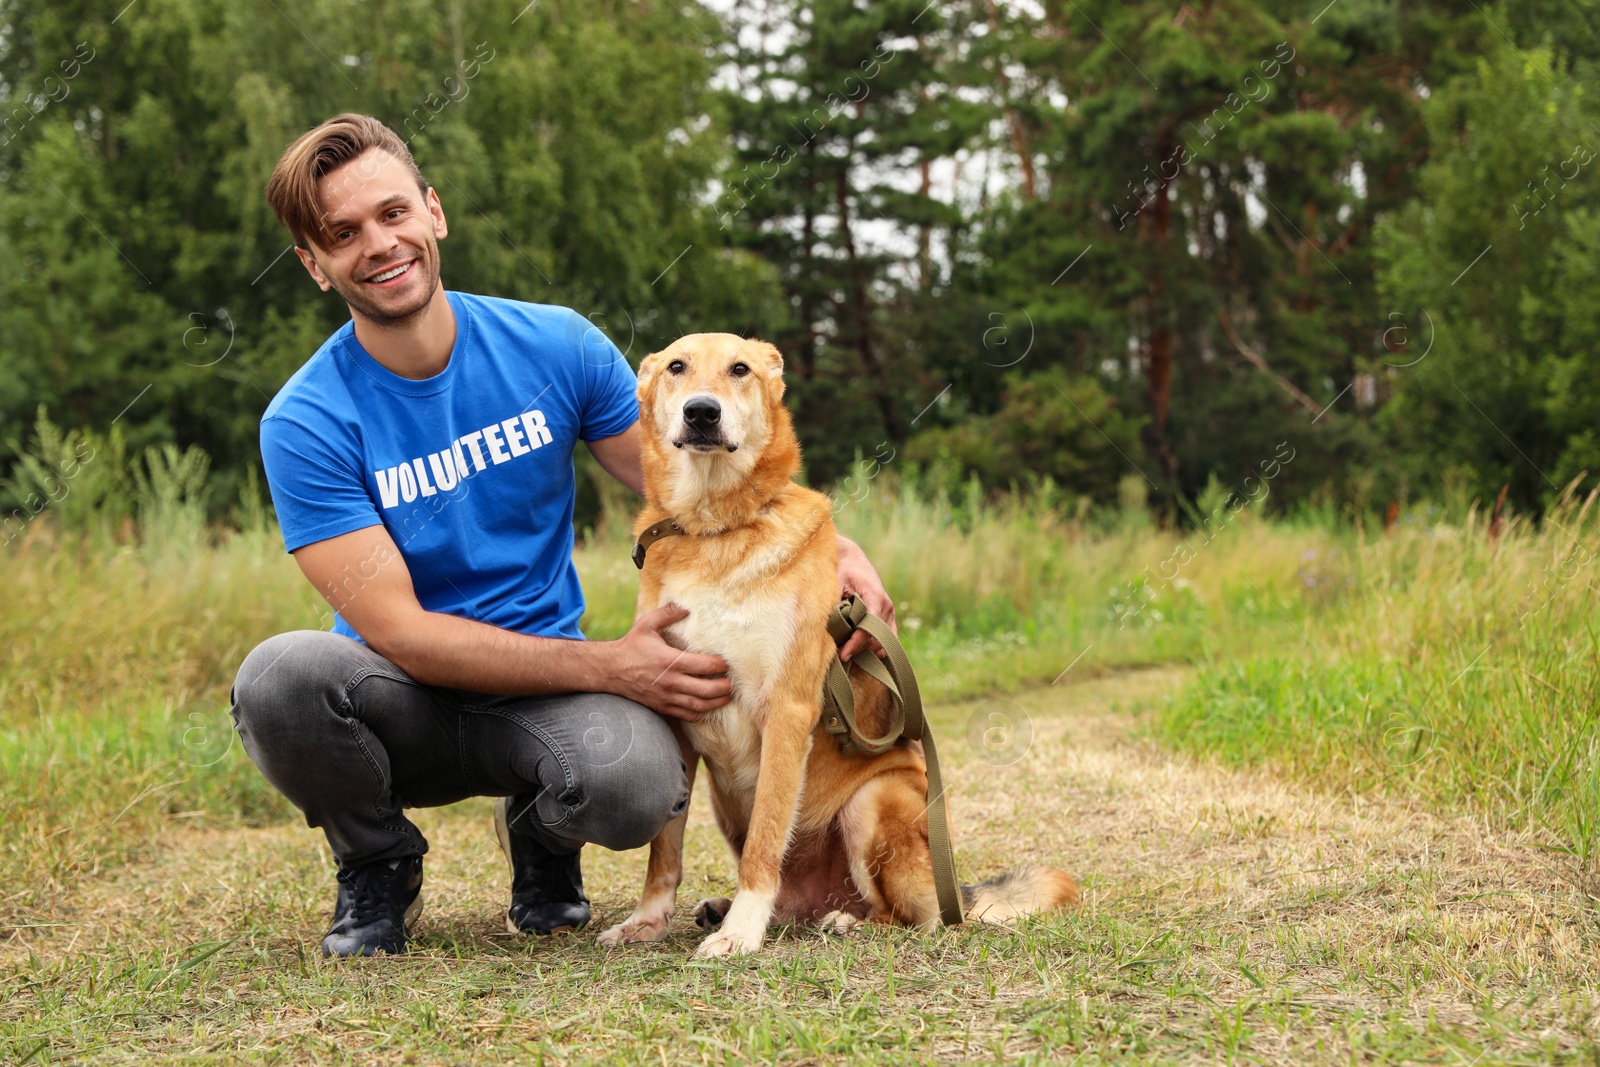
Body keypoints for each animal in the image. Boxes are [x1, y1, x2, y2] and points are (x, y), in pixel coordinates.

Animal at [598, 334, 1075, 959]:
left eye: (740, 369)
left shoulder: (786, 710)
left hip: (872, 804)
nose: (702, 412)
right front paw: (649, 921)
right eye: (677, 367)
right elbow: (664, 850)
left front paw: (740, 935)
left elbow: (764, 844)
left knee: (914, 918)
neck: (714, 530)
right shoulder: (676, 713)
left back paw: (844, 922)